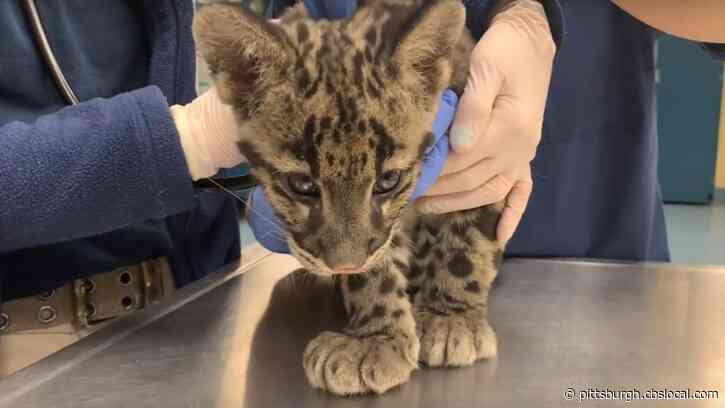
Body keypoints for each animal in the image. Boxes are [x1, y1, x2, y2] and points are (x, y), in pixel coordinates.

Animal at [193, 0, 505, 395]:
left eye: (388, 180)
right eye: (302, 184)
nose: (343, 264)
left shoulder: (482, 153)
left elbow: (465, 240)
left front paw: (449, 317)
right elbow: (376, 266)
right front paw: (375, 338)